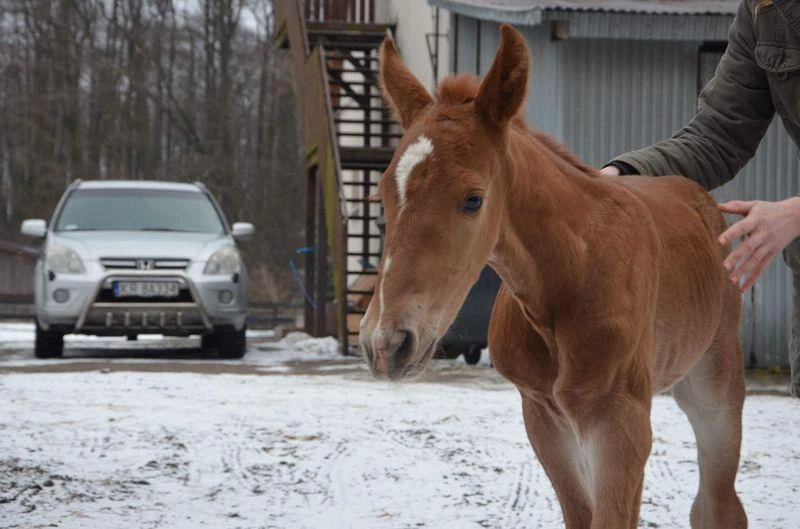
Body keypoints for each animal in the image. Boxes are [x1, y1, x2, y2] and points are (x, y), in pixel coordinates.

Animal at [360, 22, 748, 524]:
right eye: (382, 194)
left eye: (473, 199)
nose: (384, 343)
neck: (571, 279)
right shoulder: (544, 417)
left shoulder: (621, 422)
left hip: (715, 391)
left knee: (717, 504)